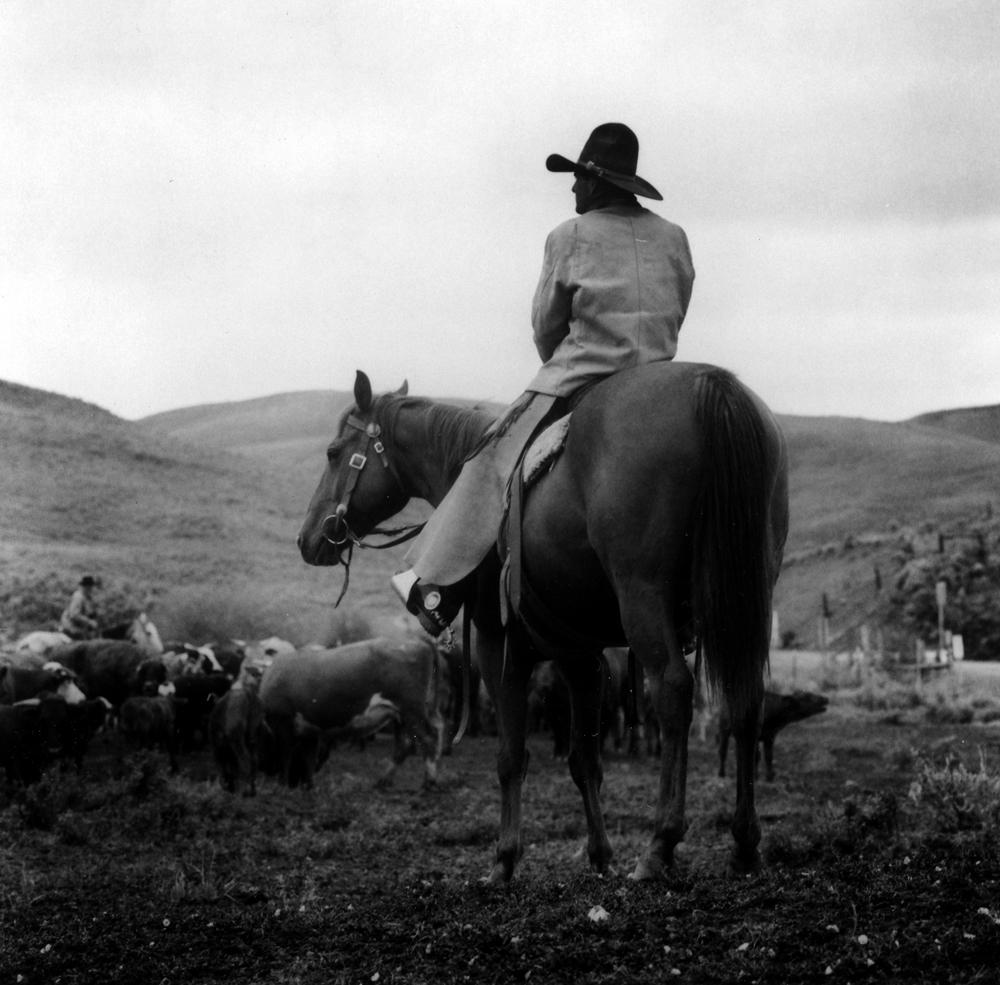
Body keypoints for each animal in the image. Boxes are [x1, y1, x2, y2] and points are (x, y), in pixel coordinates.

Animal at [296, 364, 788, 884]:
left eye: (333, 452)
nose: (308, 539)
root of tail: (708, 382)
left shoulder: (499, 648)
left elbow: (512, 757)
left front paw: (504, 859)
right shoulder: (580, 657)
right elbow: (584, 761)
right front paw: (599, 855)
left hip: (644, 596)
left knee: (674, 691)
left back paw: (660, 843)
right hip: (743, 599)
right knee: (745, 699)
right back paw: (745, 843)